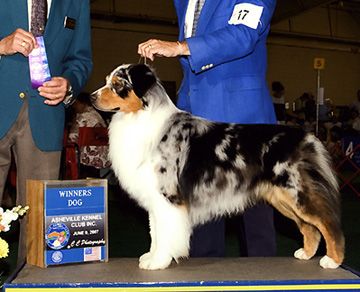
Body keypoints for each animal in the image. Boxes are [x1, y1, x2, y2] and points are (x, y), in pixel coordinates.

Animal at [91, 64, 344, 272]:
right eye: (107, 80)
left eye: (118, 84)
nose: (92, 97)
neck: (140, 117)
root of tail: (307, 136)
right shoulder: (155, 198)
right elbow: (156, 232)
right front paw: (151, 257)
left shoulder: (168, 195)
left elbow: (165, 233)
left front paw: (159, 262)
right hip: (282, 197)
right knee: (309, 227)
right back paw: (306, 253)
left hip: (297, 192)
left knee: (327, 222)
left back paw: (333, 260)